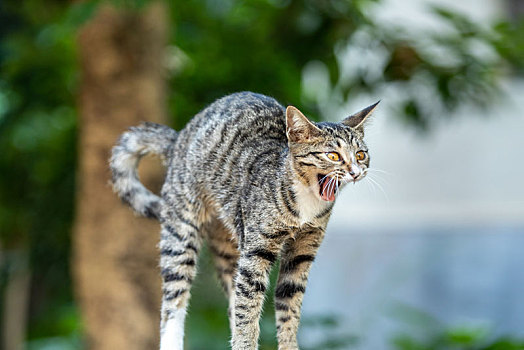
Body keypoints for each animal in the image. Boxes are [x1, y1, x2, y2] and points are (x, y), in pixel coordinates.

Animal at [110, 91, 378, 348]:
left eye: (361, 155)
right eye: (333, 156)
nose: (356, 172)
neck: (305, 204)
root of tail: (178, 140)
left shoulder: (302, 253)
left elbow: (287, 308)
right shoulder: (256, 251)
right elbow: (248, 309)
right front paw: (246, 344)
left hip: (229, 245)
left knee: (233, 301)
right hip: (182, 234)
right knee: (174, 305)